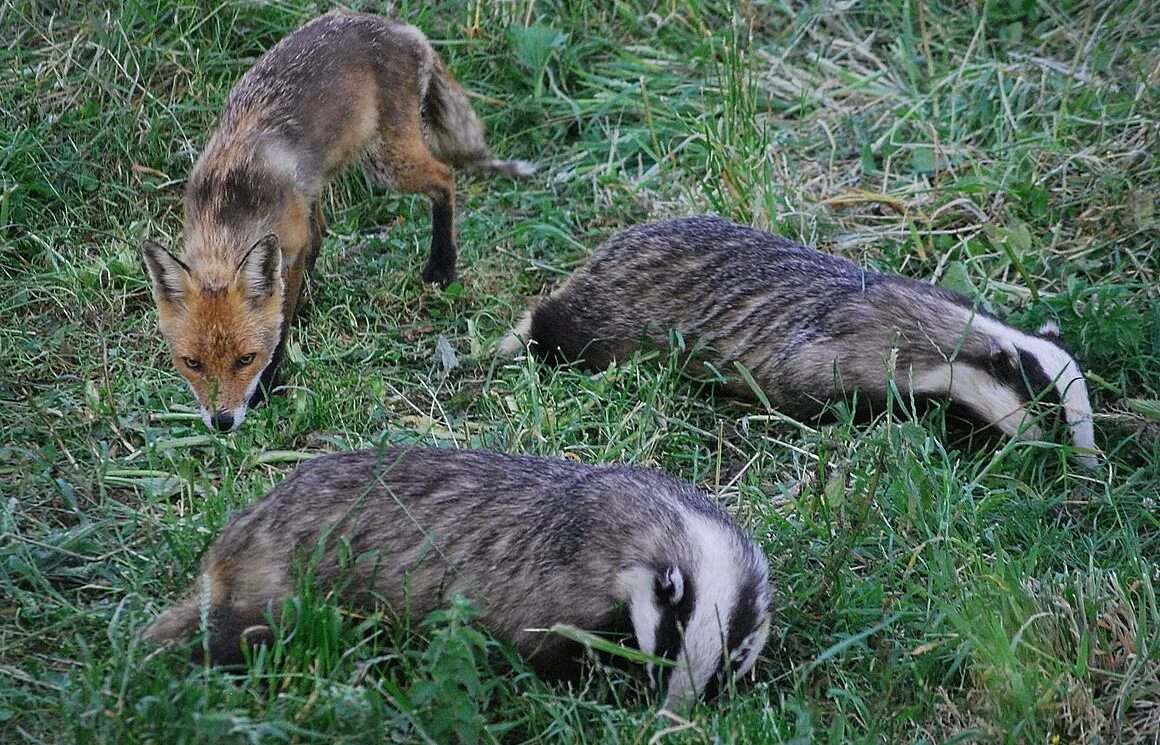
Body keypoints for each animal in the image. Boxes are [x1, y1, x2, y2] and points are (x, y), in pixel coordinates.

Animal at [141, 10, 533, 429]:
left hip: (385, 164)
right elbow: (300, 269)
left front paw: (269, 383)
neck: (227, 205)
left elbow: (280, 319)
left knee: (446, 178)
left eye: (246, 359)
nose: (222, 422)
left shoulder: (290, 245)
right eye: (192, 363)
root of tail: (401, 28)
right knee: (327, 225)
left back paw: (442, 265)